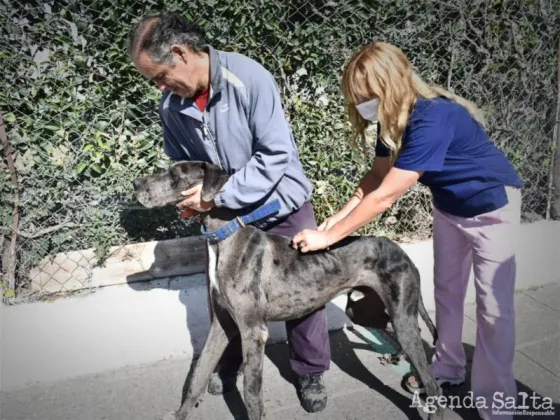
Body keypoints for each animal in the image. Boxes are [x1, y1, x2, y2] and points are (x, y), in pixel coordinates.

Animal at [131, 161, 442, 420]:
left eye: (175, 175)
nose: (135, 184)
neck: (225, 238)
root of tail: (400, 250)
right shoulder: (222, 325)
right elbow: (197, 376)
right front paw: (181, 413)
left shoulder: (253, 331)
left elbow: (251, 391)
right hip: (364, 309)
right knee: (397, 329)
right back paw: (398, 357)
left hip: (400, 314)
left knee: (432, 382)